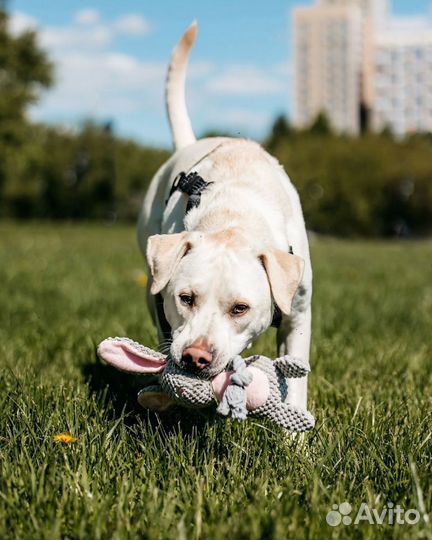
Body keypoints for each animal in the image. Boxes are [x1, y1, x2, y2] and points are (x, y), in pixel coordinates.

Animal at [138, 23, 310, 408]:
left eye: (240, 308)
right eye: (186, 298)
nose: (195, 357)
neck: (235, 219)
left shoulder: (299, 313)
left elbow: (297, 373)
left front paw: (295, 421)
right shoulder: (161, 303)